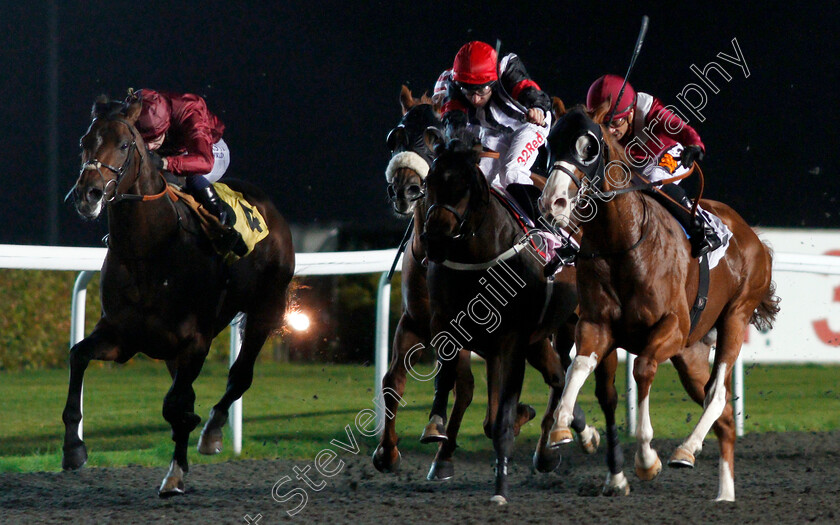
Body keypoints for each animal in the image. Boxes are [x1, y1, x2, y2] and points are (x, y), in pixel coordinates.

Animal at [62, 95, 294, 496]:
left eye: (124, 144)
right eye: (84, 142)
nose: (87, 194)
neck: (148, 250)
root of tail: (269, 208)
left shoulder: (195, 341)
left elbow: (176, 406)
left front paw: (185, 450)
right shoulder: (123, 335)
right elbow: (78, 356)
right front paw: (74, 449)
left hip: (266, 308)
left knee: (239, 377)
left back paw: (212, 431)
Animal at [420, 133, 596, 502]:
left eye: (466, 186)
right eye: (430, 181)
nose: (435, 240)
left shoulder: (512, 340)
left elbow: (501, 419)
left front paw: (500, 488)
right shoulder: (446, 324)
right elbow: (450, 382)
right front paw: (436, 432)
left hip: (569, 322)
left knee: (563, 374)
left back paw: (554, 443)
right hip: (538, 338)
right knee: (557, 375)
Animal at [540, 103, 780, 500]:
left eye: (589, 148)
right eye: (551, 145)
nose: (552, 202)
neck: (624, 243)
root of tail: (754, 238)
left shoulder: (671, 326)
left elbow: (643, 369)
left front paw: (646, 459)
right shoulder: (595, 325)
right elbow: (579, 365)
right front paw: (562, 427)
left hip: (735, 314)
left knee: (717, 393)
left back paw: (686, 450)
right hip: (690, 353)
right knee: (722, 414)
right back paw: (724, 493)